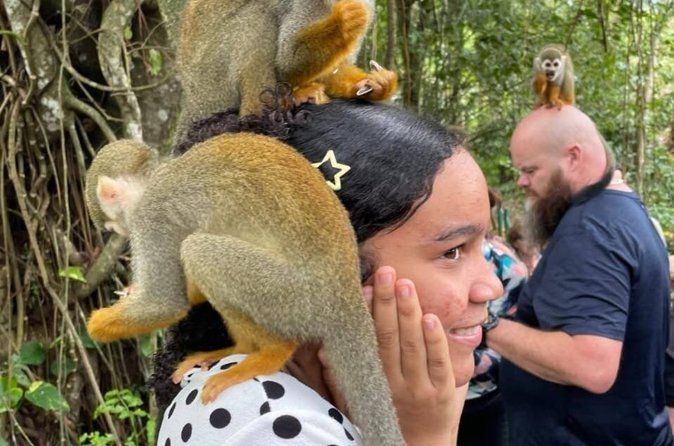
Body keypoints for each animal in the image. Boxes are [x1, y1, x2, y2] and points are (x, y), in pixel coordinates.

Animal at [84, 137, 404, 446]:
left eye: (113, 224)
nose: (118, 233)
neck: (156, 178)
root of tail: (347, 293)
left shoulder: (151, 217)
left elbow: (165, 303)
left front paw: (94, 325)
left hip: (295, 294)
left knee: (197, 250)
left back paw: (271, 353)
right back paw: (243, 348)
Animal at [174, 0, 397, 141]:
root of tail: (192, 104)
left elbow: (332, 70)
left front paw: (376, 85)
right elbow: (287, 62)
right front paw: (342, 22)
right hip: (210, 80)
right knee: (258, 17)